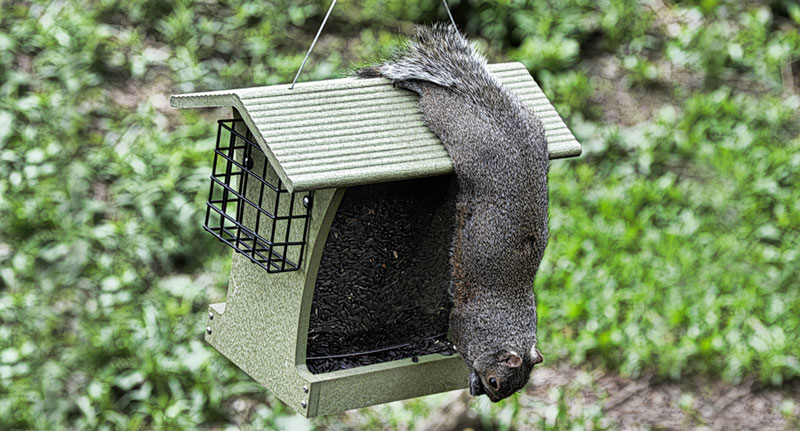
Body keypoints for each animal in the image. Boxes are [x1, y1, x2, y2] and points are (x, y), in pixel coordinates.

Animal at [360, 22, 548, 402]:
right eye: (495, 382)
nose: (489, 398)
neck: (508, 325)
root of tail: (499, 116)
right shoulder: (464, 324)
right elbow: (459, 343)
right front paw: (470, 376)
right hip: (455, 125)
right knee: (437, 99)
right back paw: (414, 84)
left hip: (533, 127)